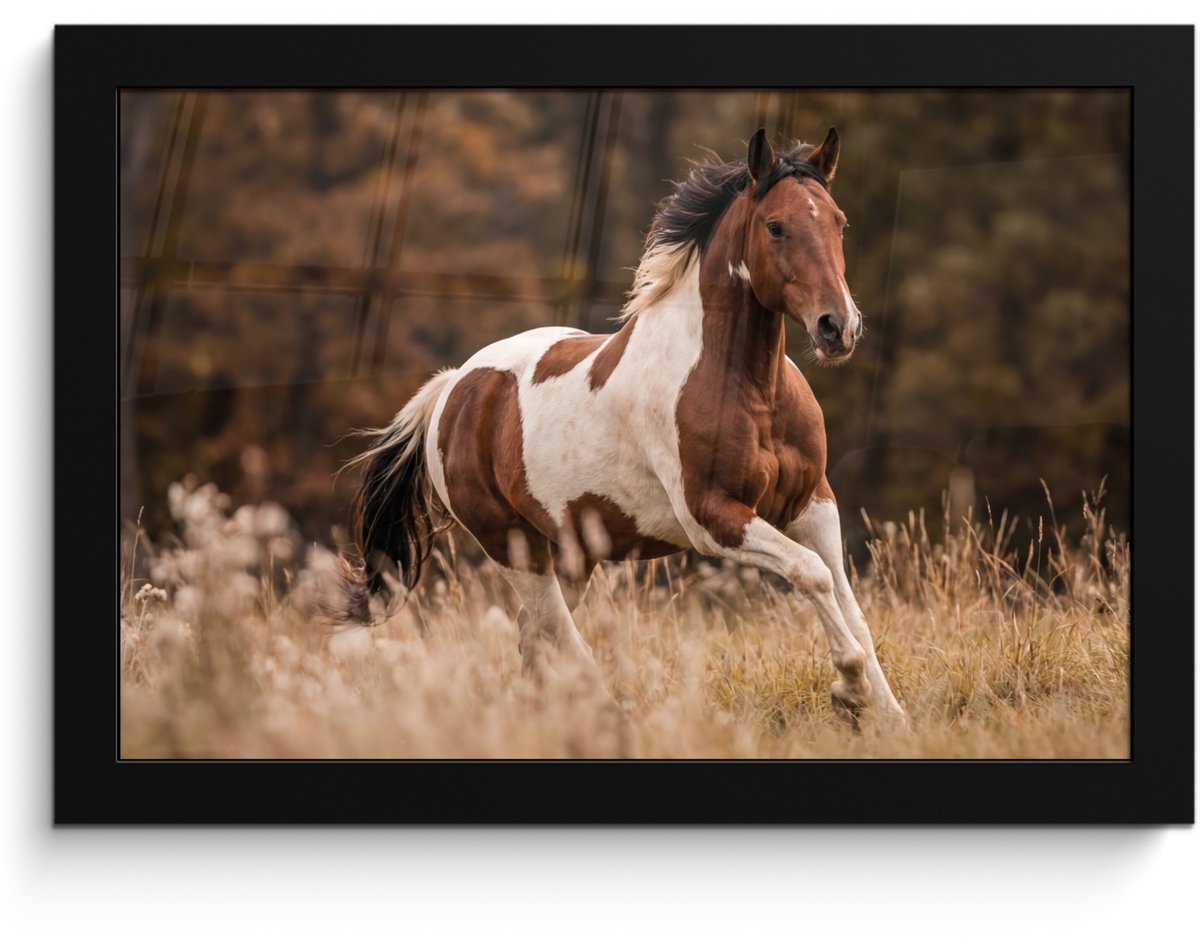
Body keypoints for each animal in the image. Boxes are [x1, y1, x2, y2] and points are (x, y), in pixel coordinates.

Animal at [349, 127, 906, 724]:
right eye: (776, 226)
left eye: (838, 222)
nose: (837, 328)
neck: (748, 385)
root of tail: (453, 387)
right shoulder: (713, 517)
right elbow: (812, 573)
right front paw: (849, 690)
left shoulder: (812, 504)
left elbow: (848, 602)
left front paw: (890, 715)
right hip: (514, 546)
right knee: (559, 637)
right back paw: (609, 715)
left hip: (573, 553)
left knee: (535, 637)